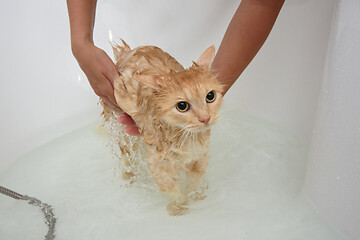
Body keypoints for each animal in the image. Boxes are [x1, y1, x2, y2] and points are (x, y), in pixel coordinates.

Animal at [102, 39, 222, 216]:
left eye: (210, 96)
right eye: (182, 106)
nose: (205, 118)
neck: (183, 135)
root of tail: (126, 53)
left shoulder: (200, 157)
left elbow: (194, 180)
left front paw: (196, 194)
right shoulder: (159, 166)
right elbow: (172, 189)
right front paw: (179, 207)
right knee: (127, 156)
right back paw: (128, 175)